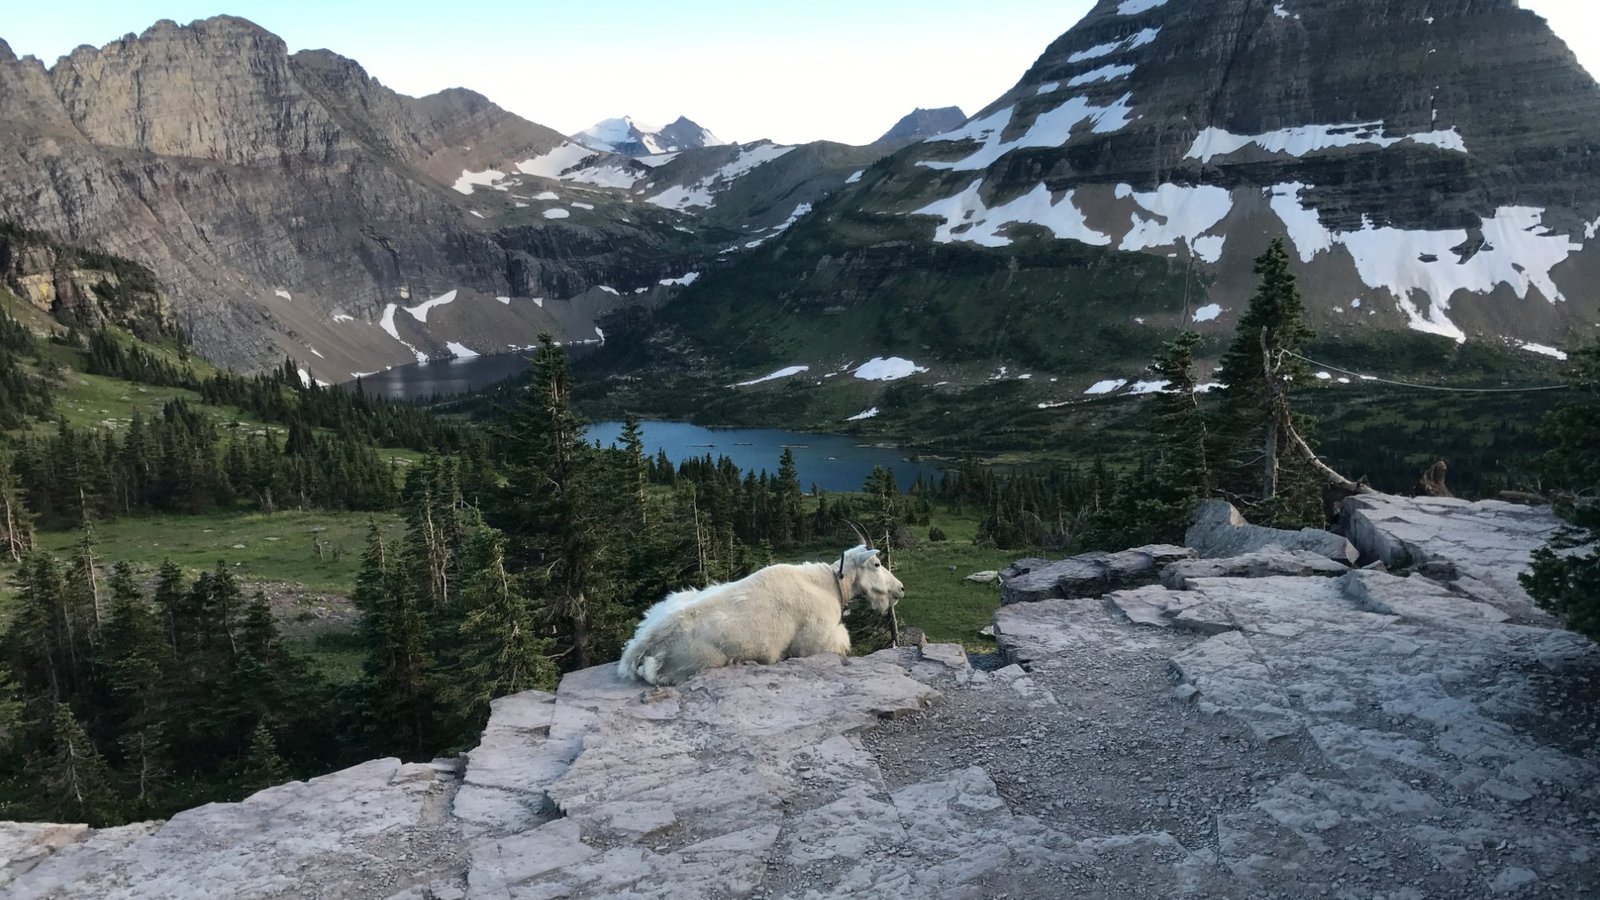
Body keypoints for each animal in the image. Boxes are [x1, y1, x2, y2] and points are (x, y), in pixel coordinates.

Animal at [617, 538, 908, 685]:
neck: (830, 585)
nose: (900, 589)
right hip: (699, 661)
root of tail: (642, 644)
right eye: (877, 563)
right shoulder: (816, 642)